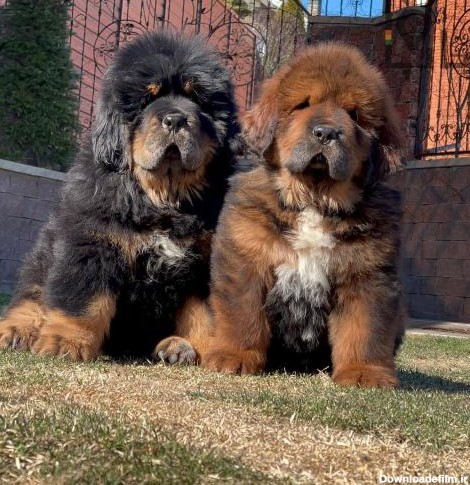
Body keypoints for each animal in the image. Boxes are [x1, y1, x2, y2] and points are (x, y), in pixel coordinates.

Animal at [0, 32, 239, 362]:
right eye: (147, 99)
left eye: (198, 100)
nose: (175, 119)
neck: (160, 197)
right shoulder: (92, 241)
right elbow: (82, 300)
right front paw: (65, 341)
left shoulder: (204, 262)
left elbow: (203, 314)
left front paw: (206, 348)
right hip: (44, 252)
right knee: (31, 294)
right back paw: (16, 331)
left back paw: (174, 347)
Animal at [201, 42, 405, 387]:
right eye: (302, 105)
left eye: (354, 115)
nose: (326, 133)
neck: (314, 200)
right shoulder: (246, 258)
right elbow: (242, 313)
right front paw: (234, 356)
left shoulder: (366, 275)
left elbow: (365, 328)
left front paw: (364, 372)